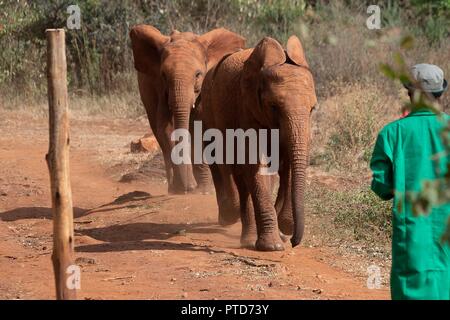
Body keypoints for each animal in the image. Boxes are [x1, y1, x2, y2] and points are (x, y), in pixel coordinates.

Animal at [130, 25, 246, 194]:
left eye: (198, 75)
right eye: (164, 75)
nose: (188, 188)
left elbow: (201, 128)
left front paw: (204, 190)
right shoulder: (160, 88)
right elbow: (166, 128)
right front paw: (184, 187)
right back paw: (172, 187)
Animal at [200, 35, 316, 250]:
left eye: (313, 108)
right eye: (273, 106)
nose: (294, 242)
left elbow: (286, 163)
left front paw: (284, 227)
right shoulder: (246, 107)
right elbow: (255, 164)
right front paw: (273, 246)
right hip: (211, 111)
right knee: (235, 171)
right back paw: (245, 233)